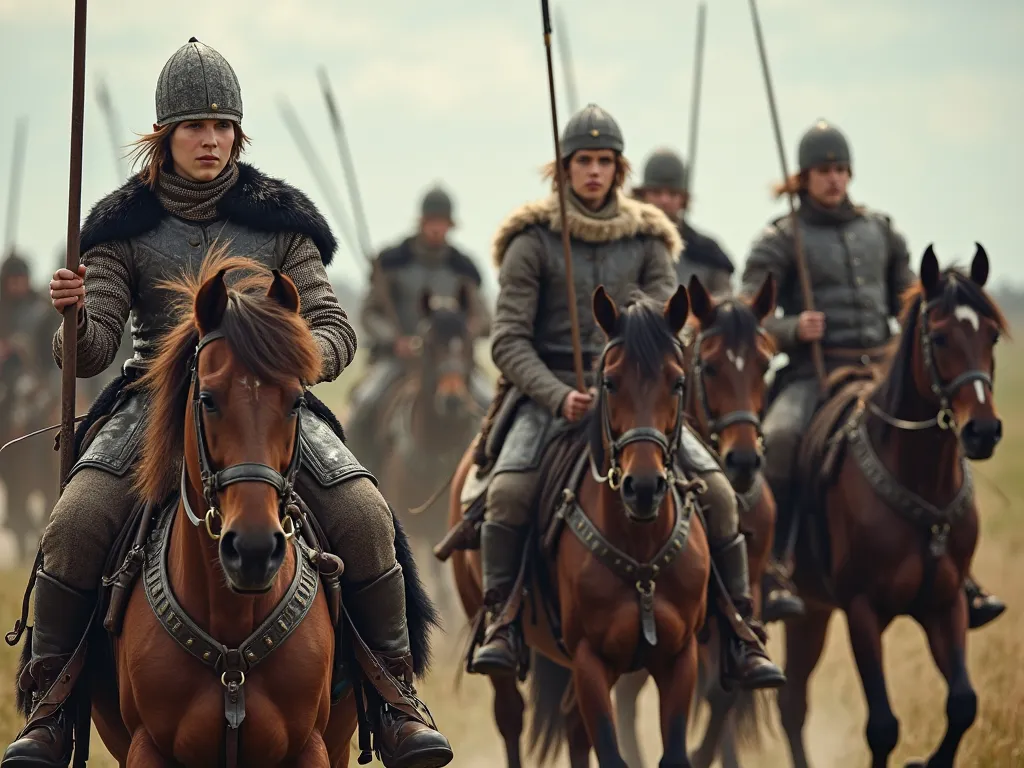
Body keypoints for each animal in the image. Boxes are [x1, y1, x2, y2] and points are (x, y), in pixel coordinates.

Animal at [448, 286, 712, 768]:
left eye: (678, 381)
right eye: (609, 382)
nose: (643, 488)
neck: (641, 548)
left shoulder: (679, 657)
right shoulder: (591, 660)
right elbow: (608, 749)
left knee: (572, 726)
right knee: (510, 716)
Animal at [778, 246, 1003, 768]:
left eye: (991, 335)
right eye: (939, 337)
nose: (983, 432)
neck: (921, 481)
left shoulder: (945, 604)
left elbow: (963, 703)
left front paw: (930, 761)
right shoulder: (862, 609)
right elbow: (882, 726)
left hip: (811, 612)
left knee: (790, 702)